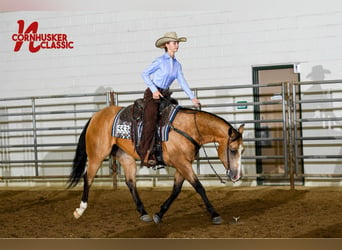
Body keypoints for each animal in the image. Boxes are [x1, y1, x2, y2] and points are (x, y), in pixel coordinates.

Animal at [67, 101, 243, 225]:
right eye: (233, 149)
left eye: (242, 150)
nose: (237, 176)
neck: (188, 128)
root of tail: (95, 117)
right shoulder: (182, 163)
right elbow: (199, 187)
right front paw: (215, 214)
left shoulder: (182, 164)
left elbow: (176, 190)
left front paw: (159, 214)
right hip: (97, 155)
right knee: (88, 177)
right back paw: (80, 210)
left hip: (126, 157)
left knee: (130, 182)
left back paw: (143, 213)